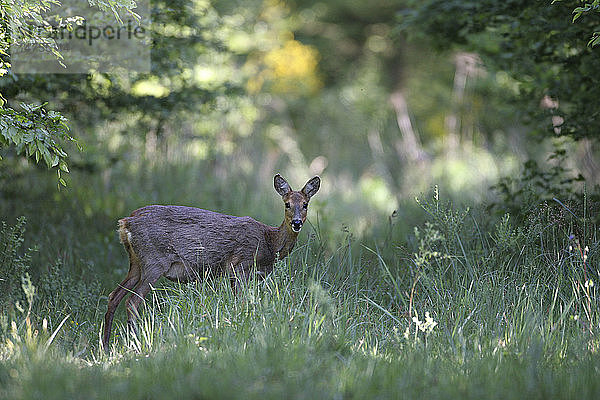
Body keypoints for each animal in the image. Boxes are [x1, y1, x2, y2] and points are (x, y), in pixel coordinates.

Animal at [103, 173, 322, 352]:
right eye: (287, 204)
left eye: (305, 204)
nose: (296, 223)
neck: (269, 243)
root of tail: (125, 223)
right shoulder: (239, 266)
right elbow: (241, 304)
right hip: (154, 261)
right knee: (132, 302)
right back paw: (136, 343)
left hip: (136, 264)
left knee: (114, 296)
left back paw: (105, 347)